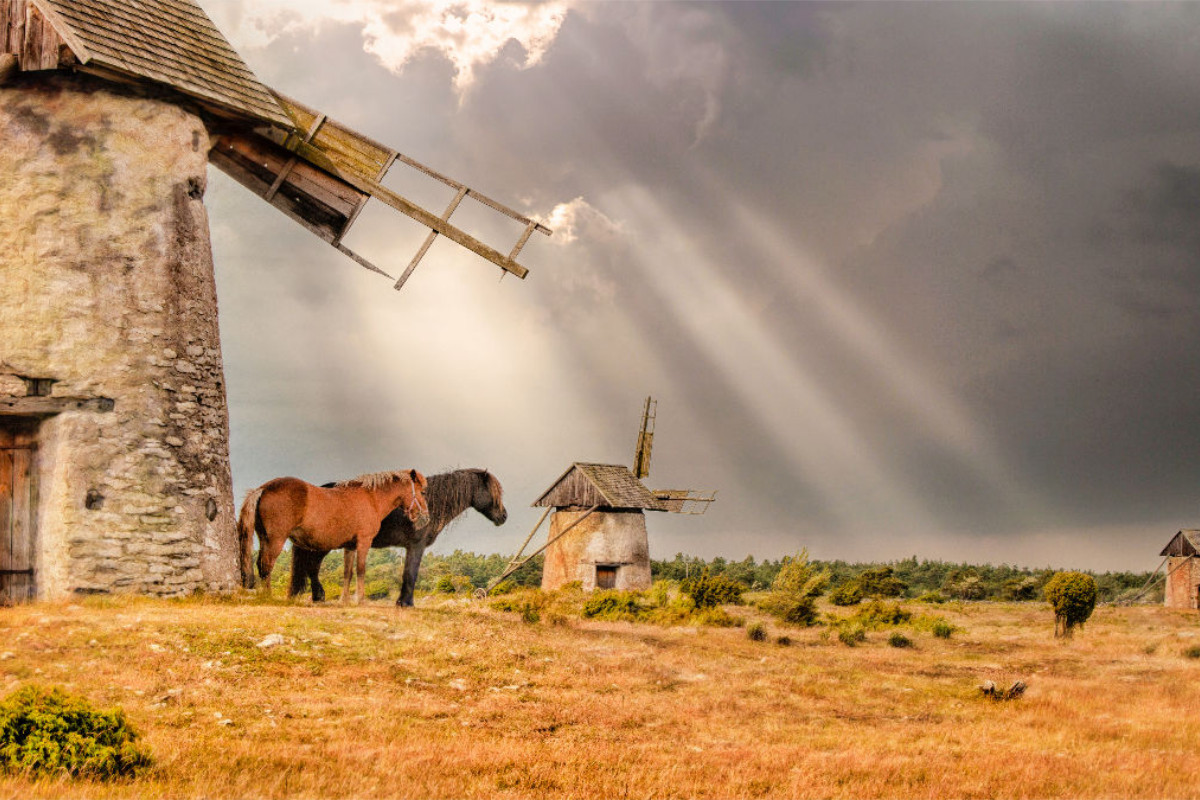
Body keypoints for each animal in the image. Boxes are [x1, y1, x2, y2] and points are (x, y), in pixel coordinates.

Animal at [238, 465, 432, 604]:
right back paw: (267, 595)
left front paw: (344, 600)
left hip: (265, 538)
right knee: (267, 564)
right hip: (275, 540)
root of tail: (264, 488)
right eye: (422, 492)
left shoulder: (350, 546)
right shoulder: (363, 542)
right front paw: (360, 600)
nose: (426, 518)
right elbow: (361, 570)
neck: (371, 498)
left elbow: (348, 572)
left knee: (261, 564)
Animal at [290, 470, 506, 606]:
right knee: (312, 567)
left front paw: (401, 601)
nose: (504, 517)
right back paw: (319, 596)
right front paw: (406, 603)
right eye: (493, 492)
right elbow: (410, 574)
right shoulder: (417, 546)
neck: (431, 504)